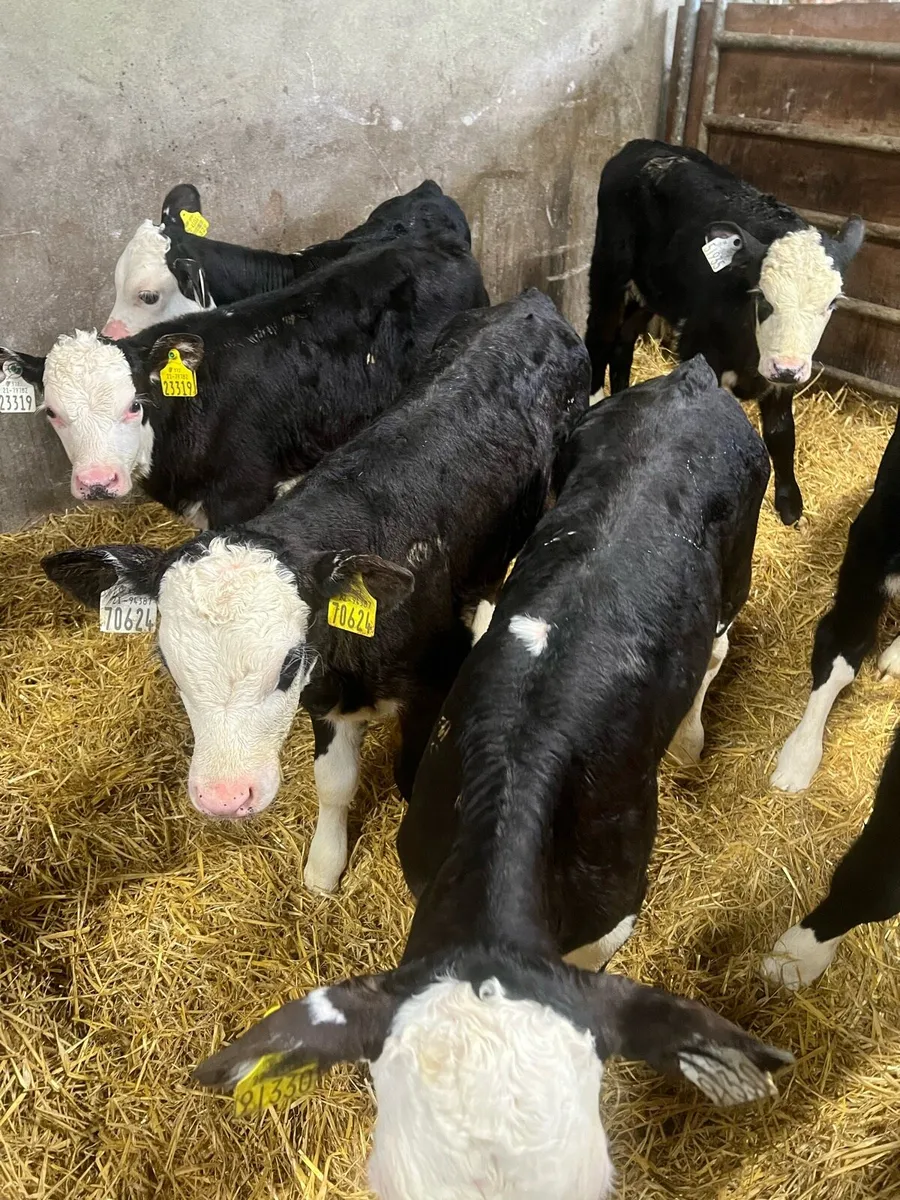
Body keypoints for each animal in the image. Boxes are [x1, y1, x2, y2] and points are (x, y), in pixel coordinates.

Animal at [41, 290, 590, 894]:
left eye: (287, 665)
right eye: (168, 664)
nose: (223, 799)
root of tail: (530, 301)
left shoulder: (431, 684)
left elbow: (409, 779)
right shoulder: (326, 695)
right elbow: (334, 782)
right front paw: (324, 867)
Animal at [584, 138, 864, 525]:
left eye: (832, 302)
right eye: (762, 296)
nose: (787, 368)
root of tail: (643, 145)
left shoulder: (781, 371)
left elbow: (781, 433)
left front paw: (790, 505)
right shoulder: (699, 348)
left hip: (652, 292)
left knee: (623, 342)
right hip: (609, 271)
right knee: (599, 336)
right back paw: (596, 399)